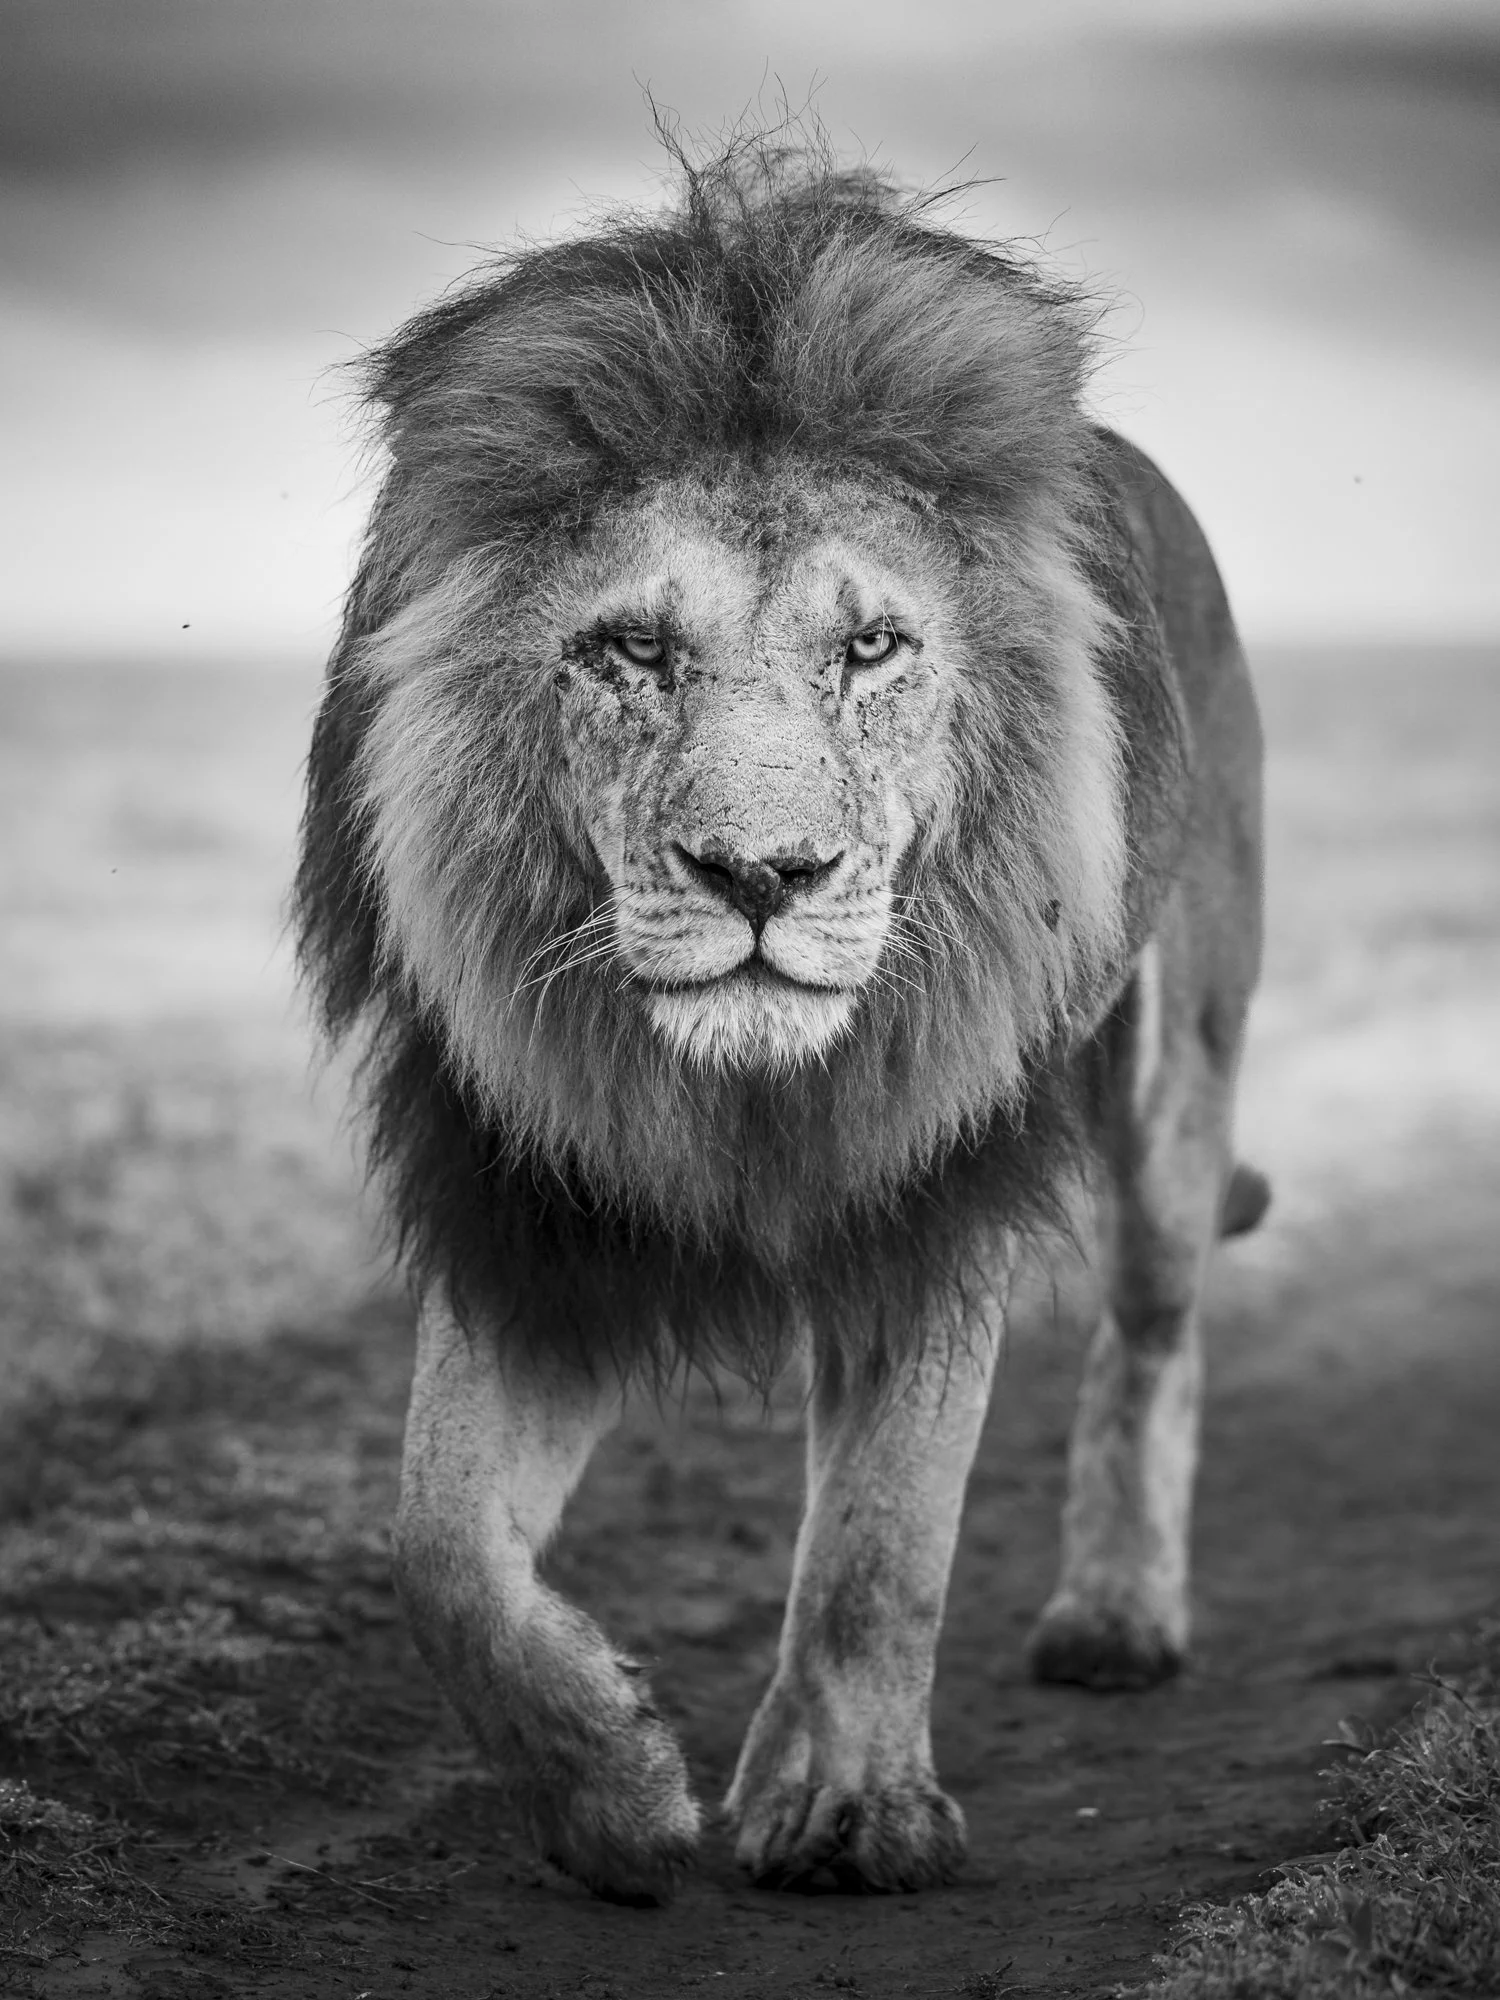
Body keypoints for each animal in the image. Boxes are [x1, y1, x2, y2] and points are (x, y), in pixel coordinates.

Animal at [295, 140, 1267, 1905]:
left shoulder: (935, 1190)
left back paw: (1116, 1622)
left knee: (1153, 1331)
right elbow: (438, 1551)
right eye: (631, 649)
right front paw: (610, 1788)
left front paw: (842, 1811)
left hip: (1178, 1088)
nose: (762, 874)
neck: (747, 1096)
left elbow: (887, 1534)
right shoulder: (530, 1201)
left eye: (871, 647)